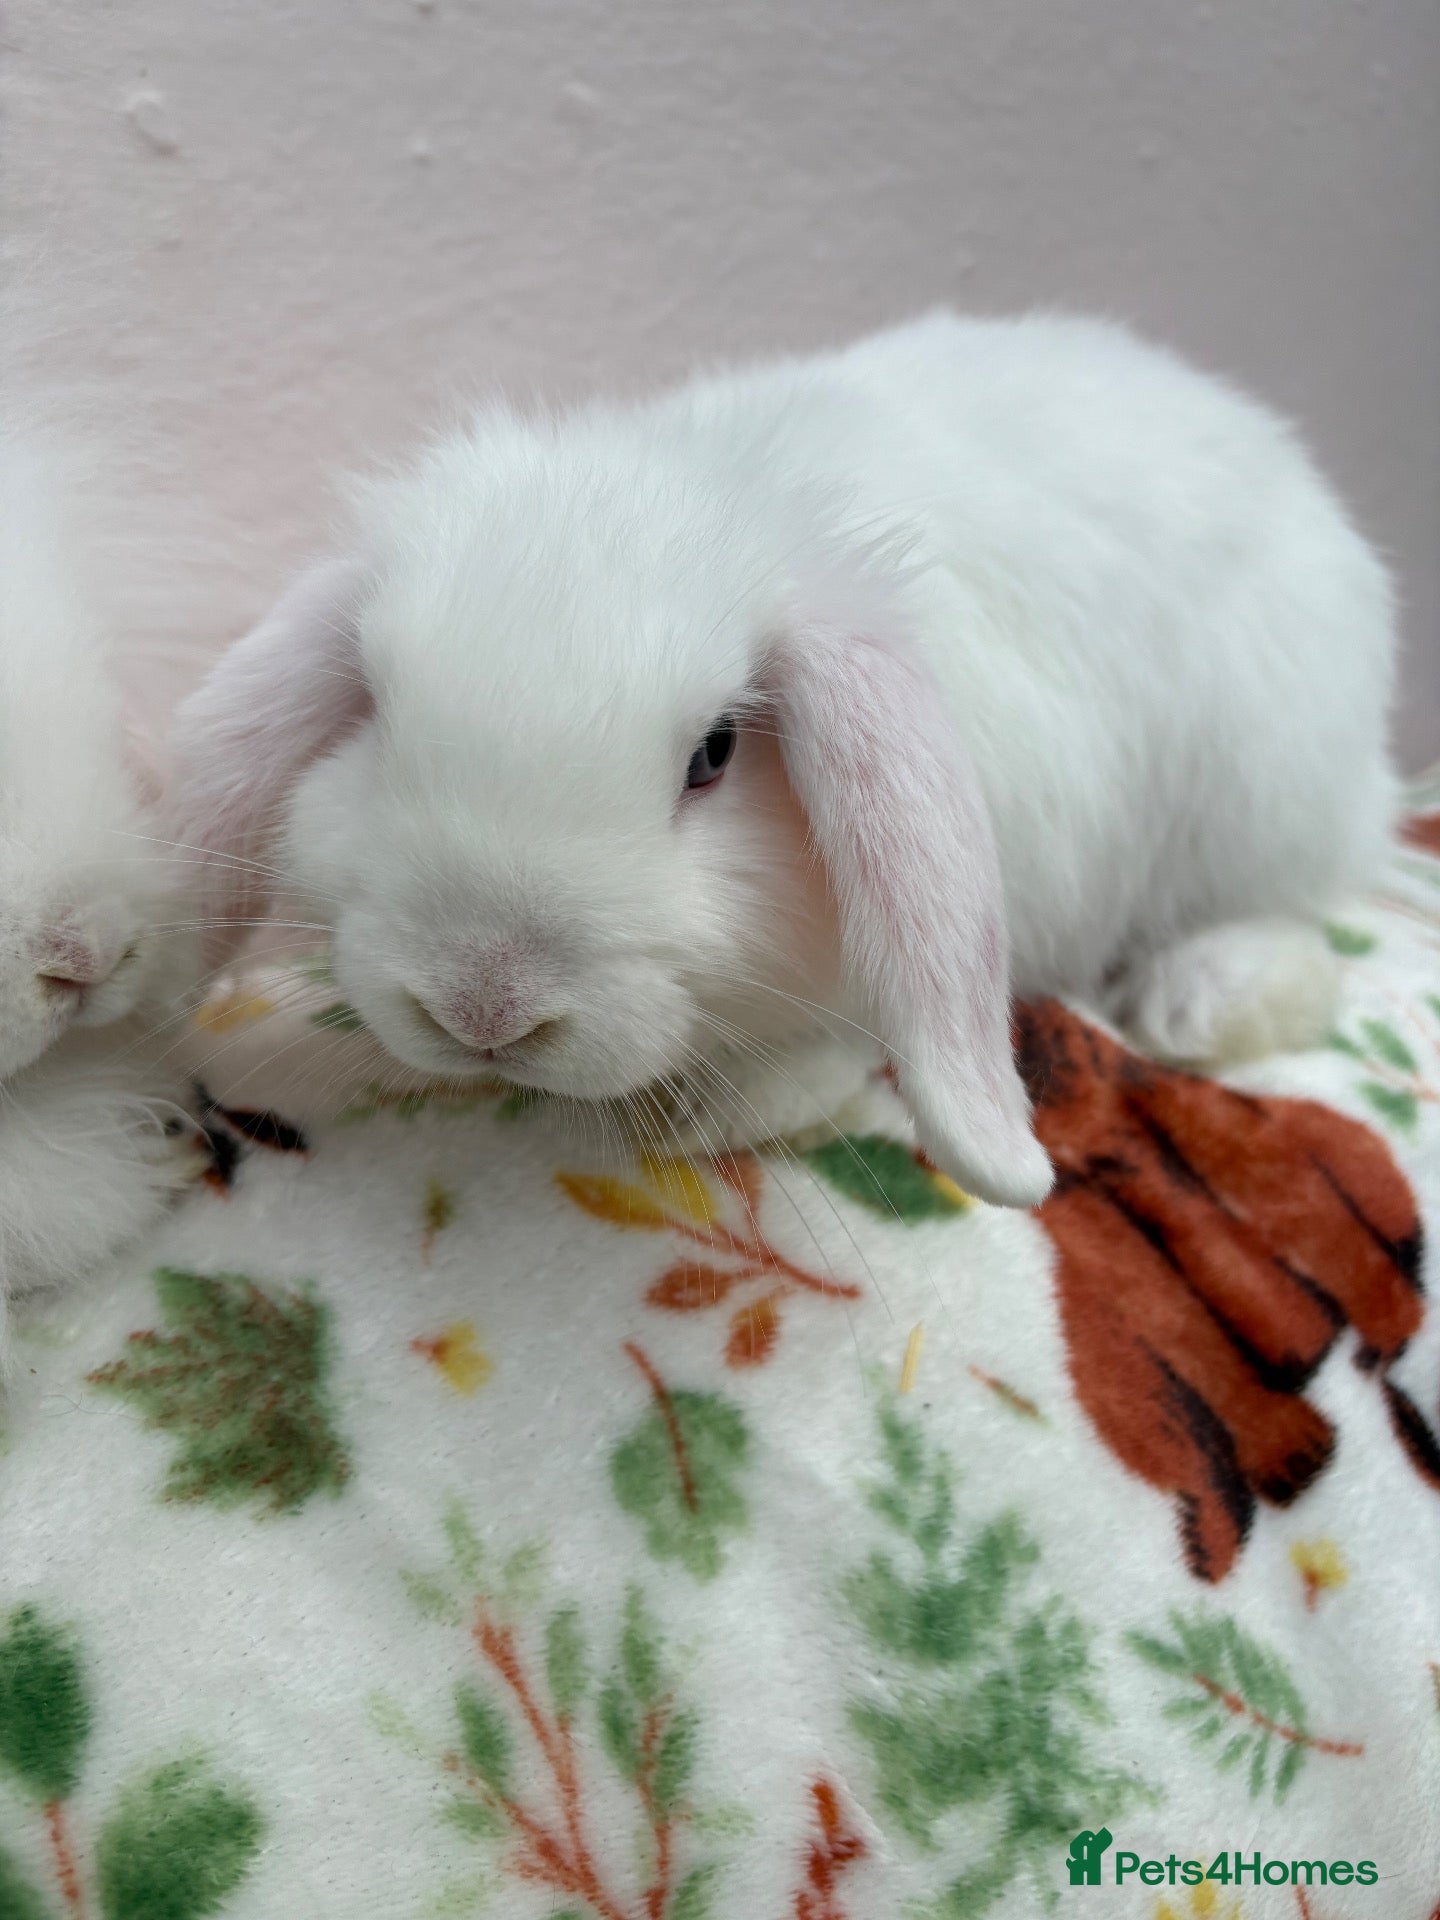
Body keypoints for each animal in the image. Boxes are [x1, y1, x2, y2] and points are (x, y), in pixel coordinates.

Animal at [172, 311, 1398, 1209]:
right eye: (376, 710)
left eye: (714, 755)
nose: (483, 1013)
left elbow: (850, 1039)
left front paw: (725, 1112)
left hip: (1266, 786)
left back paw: (1208, 1003)